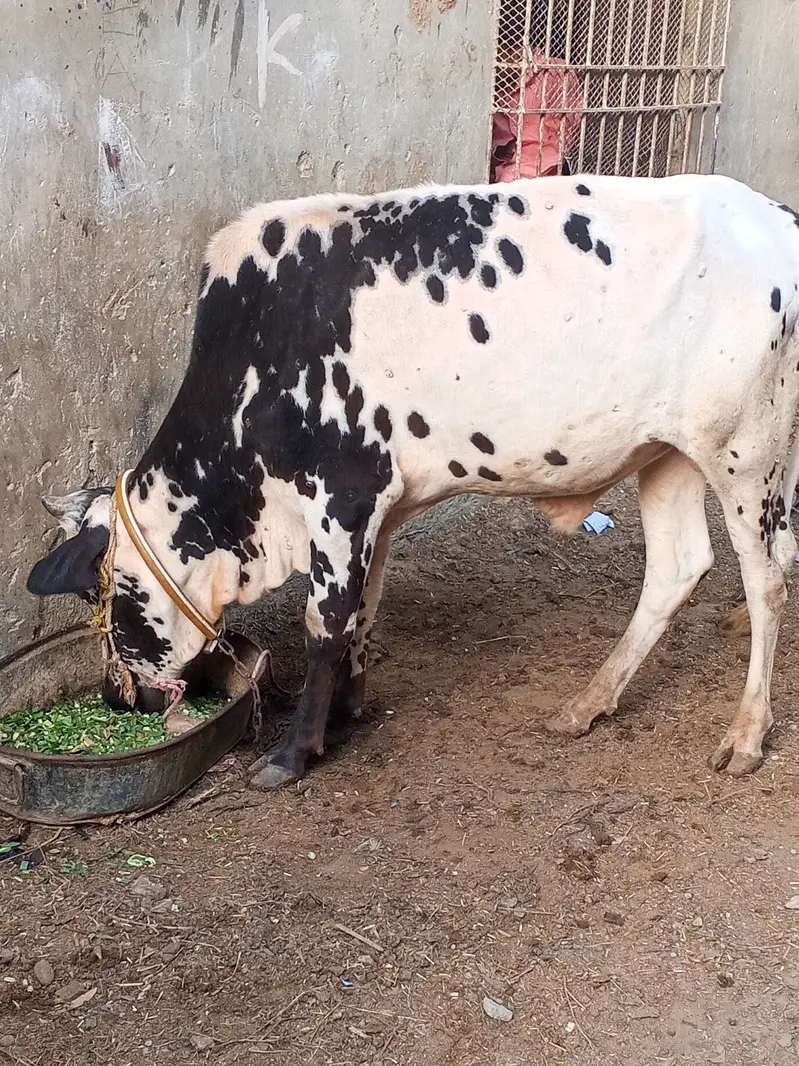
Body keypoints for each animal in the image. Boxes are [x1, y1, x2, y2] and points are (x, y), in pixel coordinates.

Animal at [26, 173, 799, 789]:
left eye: (101, 600)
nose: (117, 699)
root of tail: (775, 214)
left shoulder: (341, 495)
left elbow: (324, 621)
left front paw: (293, 752)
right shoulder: (377, 509)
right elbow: (360, 613)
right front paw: (343, 714)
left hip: (744, 453)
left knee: (765, 580)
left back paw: (745, 732)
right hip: (669, 453)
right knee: (679, 568)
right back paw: (588, 702)